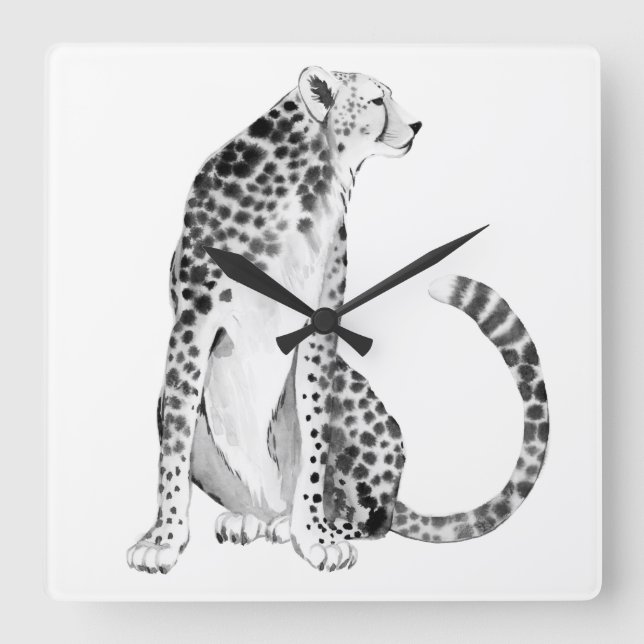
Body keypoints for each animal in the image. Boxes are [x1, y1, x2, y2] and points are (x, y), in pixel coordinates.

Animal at [127, 66, 549, 574]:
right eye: (376, 101)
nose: (417, 125)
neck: (308, 180)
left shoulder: (319, 326)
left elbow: (314, 439)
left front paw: (314, 536)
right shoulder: (193, 323)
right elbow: (174, 442)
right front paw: (164, 538)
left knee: (375, 521)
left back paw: (302, 524)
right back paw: (250, 519)